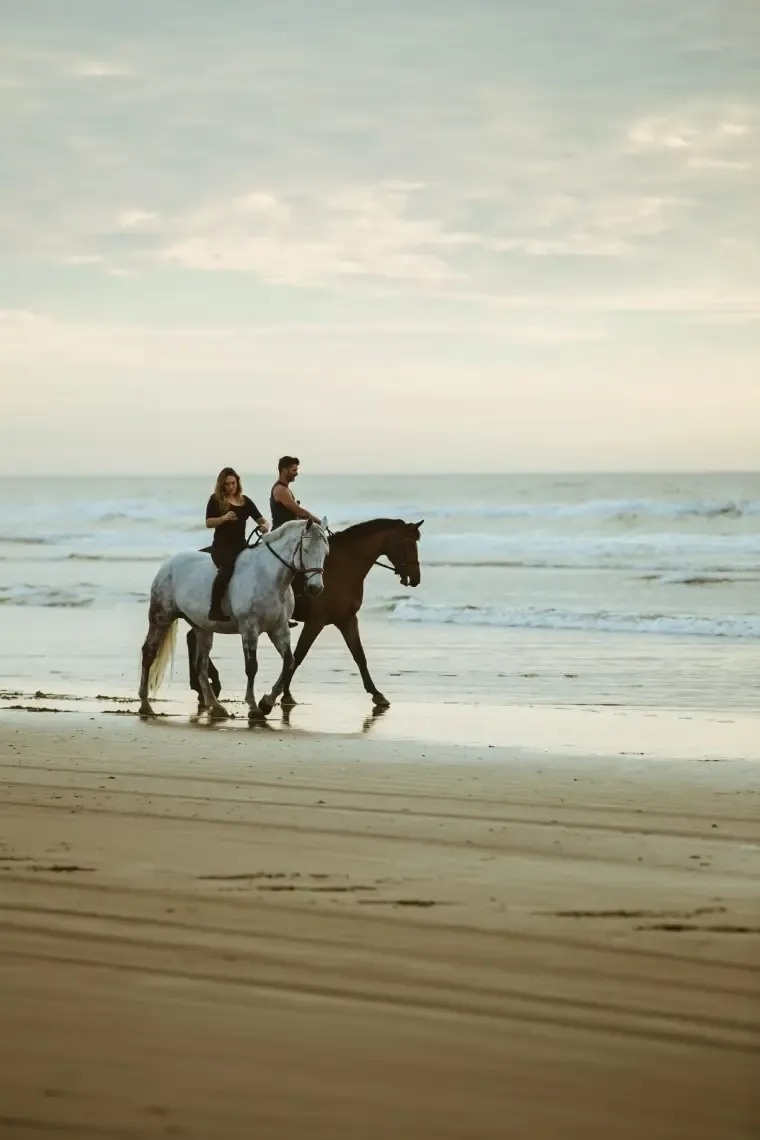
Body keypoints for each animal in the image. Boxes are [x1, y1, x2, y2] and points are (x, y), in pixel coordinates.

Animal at [138, 519, 328, 715]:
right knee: (149, 653)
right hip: (161, 617)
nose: (316, 588)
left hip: (203, 628)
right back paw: (145, 704)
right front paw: (253, 706)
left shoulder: (279, 629)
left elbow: (289, 662)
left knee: (201, 664)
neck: (269, 577)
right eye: (306, 550)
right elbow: (252, 667)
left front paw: (266, 702)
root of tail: (168, 564)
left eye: (325, 552)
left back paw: (215, 706)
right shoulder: (249, 628)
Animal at [184, 519, 421, 711]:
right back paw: (206, 685)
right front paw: (278, 696)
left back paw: (203, 685)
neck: (344, 566)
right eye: (408, 543)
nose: (416, 578)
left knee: (192, 637)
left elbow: (359, 656)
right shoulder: (317, 621)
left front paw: (377, 694)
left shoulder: (346, 619)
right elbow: (298, 656)